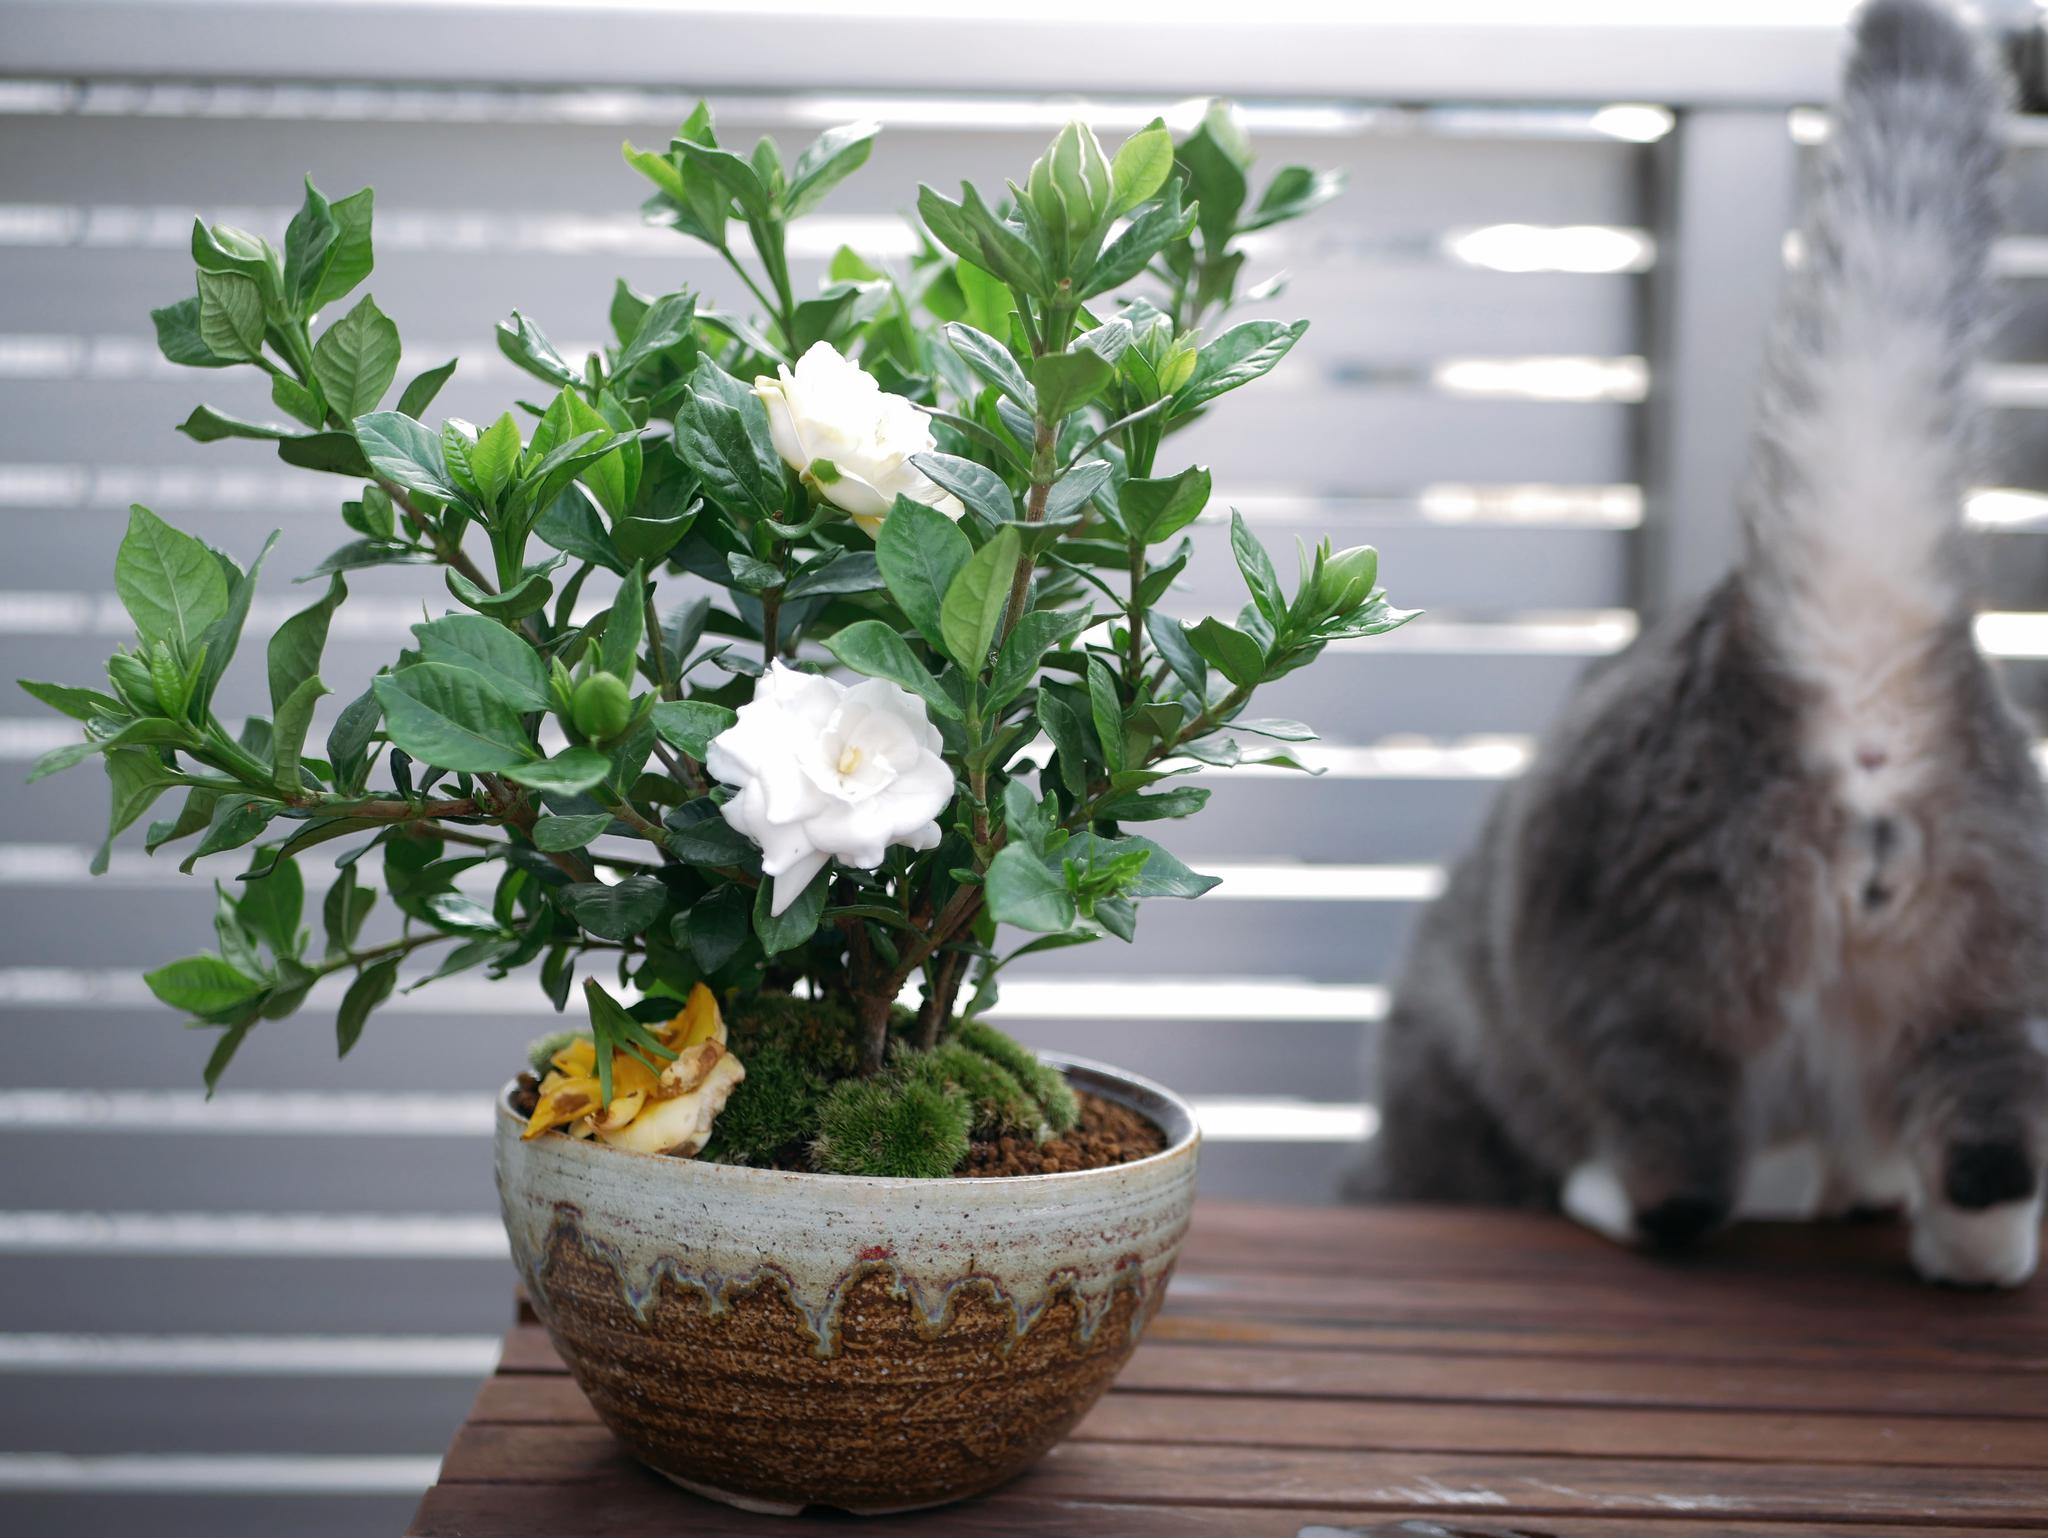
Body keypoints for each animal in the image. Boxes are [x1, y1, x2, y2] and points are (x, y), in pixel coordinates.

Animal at [1351, 0, 2048, 1286]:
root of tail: (1831, 644)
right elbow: (1882, 1149)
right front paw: (1860, 1191)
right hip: (1978, 984)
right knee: (1986, 1157)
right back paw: (1951, 1247)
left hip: (1647, 986)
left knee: (1686, 1180)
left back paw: (1601, 1194)